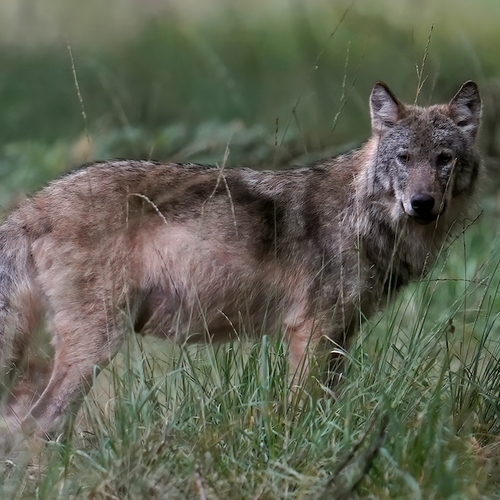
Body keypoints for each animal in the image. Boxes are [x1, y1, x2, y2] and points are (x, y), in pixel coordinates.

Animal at [0, 80, 480, 436]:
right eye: (404, 158)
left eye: (444, 159)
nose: (422, 203)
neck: (362, 216)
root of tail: (32, 205)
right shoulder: (310, 330)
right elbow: (299, 410)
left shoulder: (341, 335)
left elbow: (325, 406)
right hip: (98, 344)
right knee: (35, 423)